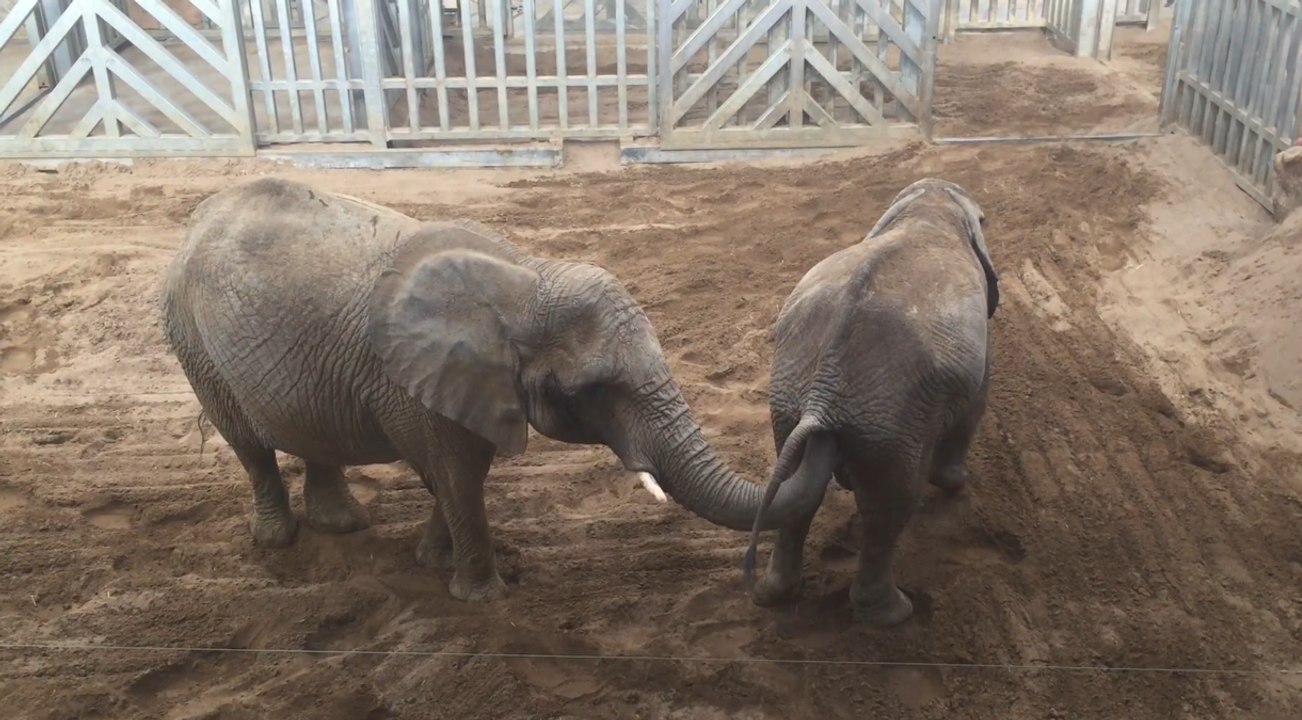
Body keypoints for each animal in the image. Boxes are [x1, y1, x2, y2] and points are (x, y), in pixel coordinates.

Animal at [159, 177, 826, 603]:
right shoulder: (419, 380)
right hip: (193, 339)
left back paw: (342, 527)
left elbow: (457, 475)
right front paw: (483, 598)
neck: (525, 280)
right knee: (248, 445)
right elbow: (453, 474)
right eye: (597, 390)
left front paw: (434, 561)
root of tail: (197, 215)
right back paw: (277, 540)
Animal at [742, 178, 1000, 626]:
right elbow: (973, 408)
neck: (930, 207)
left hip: (792, 401)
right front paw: (956, 484)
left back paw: (773, 595)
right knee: (890, 506)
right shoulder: (977, 359)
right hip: (894, 423)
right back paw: (895, 613)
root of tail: (822, 395)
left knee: (799, 488)